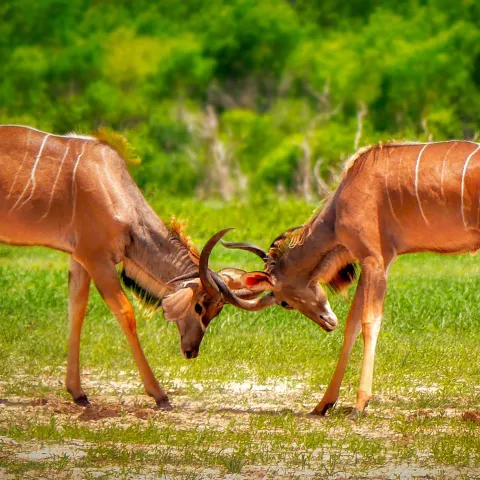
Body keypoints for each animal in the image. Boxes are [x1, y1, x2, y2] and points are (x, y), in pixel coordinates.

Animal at [0, 125, 273, 409]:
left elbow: (76, 310)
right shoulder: (96, 258)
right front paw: (159, 393)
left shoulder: (79, 258)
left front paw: (78, 392)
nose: (191, 351)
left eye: (217, 312)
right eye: (199, 307)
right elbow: (125, 313)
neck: (112, 186)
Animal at [223, 140, 480, 418]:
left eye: (284, 303)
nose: (327, 323)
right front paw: (323, 404)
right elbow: (352, 325)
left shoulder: (374, 260)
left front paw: (360, 404)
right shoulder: (374, 263)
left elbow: (369, 322)